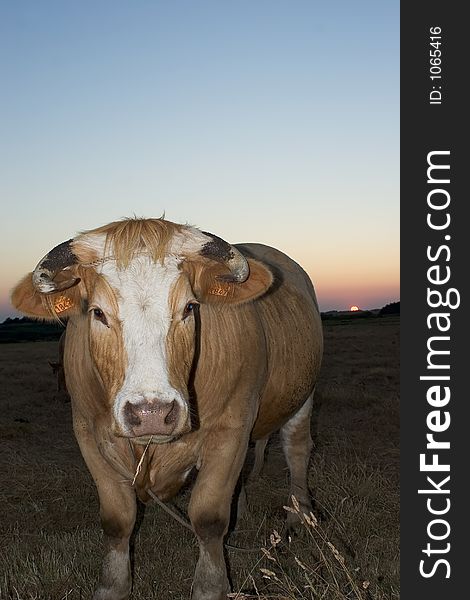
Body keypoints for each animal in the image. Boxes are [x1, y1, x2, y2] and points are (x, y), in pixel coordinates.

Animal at [12, 219, 324, 600]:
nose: (151, 413)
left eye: (189, 307)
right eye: (98, 313)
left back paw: (300, 515)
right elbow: (117, 520)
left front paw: (210, 586)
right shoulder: (87, 433)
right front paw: (113, 586)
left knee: (297, 450)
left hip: (304, 393)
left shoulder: (230, 430)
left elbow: (208, 518)